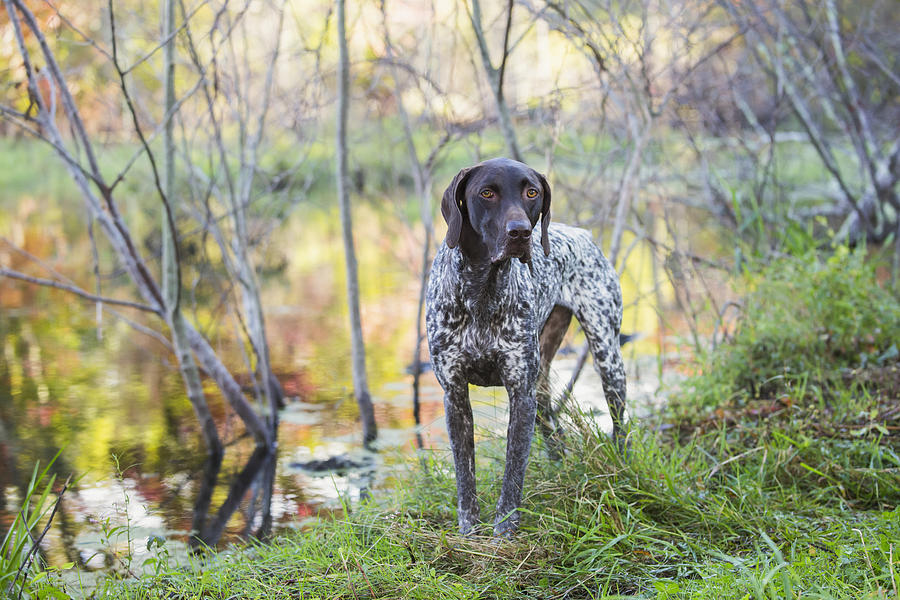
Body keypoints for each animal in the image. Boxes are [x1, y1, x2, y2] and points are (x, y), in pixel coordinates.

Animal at [428, 158, 624, 536]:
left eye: (532, 193)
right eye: (486, 193)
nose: (520, 233)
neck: (482, 290)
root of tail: (582, 233)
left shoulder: (520, 392)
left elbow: (513, 469)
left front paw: (505, 525)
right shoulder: (455, 396)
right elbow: (465, 473)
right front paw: (469, 527)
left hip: (608, 359)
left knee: (621, 426)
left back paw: (625, 470)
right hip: (543, 382)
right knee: (552, 425)